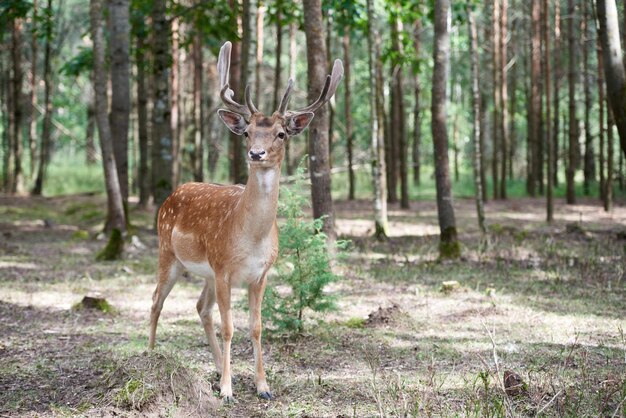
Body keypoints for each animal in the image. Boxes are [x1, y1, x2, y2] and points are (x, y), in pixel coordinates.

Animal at [147, 41, 342, 402]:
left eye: (281, 134)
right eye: (248, 132)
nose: (255, 154)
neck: (251, 238)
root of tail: (172, 194)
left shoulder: (260, 274)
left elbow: (255, 326)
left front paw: (262, 386)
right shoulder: (224, 268)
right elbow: (230, 327)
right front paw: (227, 390)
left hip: (206, 273)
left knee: (201, 307)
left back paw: (216, 368)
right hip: (169, 253)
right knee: (157, 301)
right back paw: (151, 354)